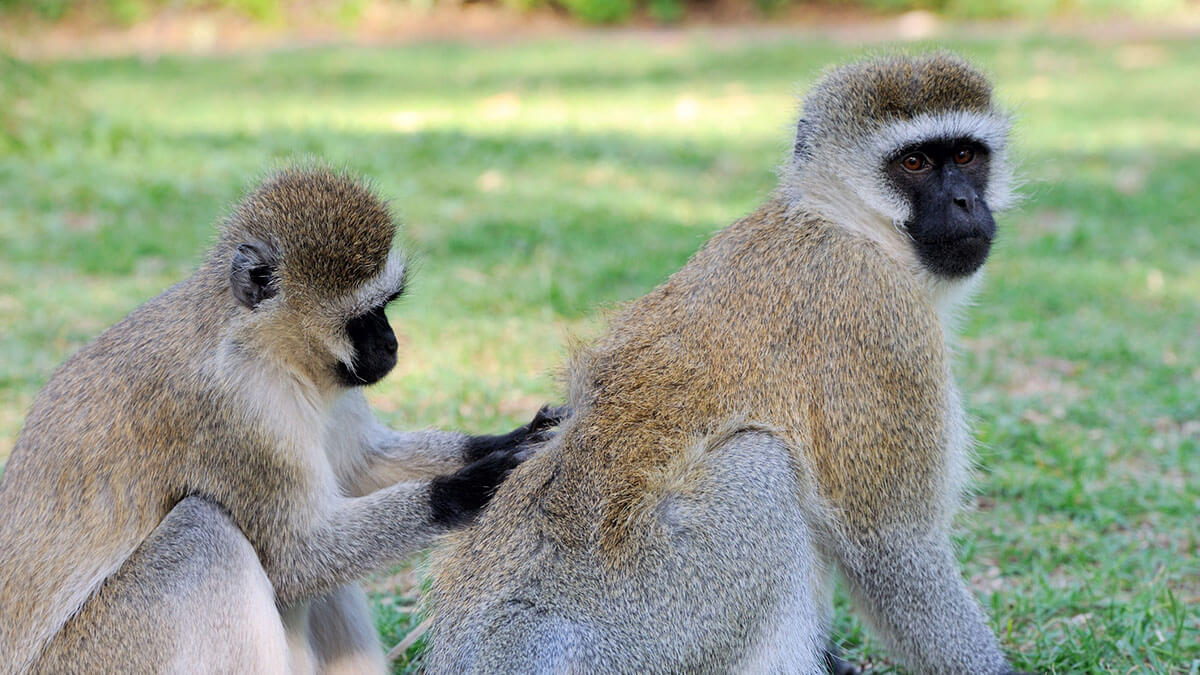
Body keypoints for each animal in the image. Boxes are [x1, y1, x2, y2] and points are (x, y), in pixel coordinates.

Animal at [0, 165, 561, 667]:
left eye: (388, 306)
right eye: (366, 316)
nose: (392, 344)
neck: (265, 347)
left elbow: (360, 466)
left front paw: (523, 436)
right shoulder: (236, 411)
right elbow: (296, 559)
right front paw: (473, 486)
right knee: (206, 534)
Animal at [427, 53, 1027, 672]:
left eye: (966, 156)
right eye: (914, 162)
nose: (965, 203)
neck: (843, 222)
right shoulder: (882, 322)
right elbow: (894, 546)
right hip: (651, 622)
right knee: (760, 464)